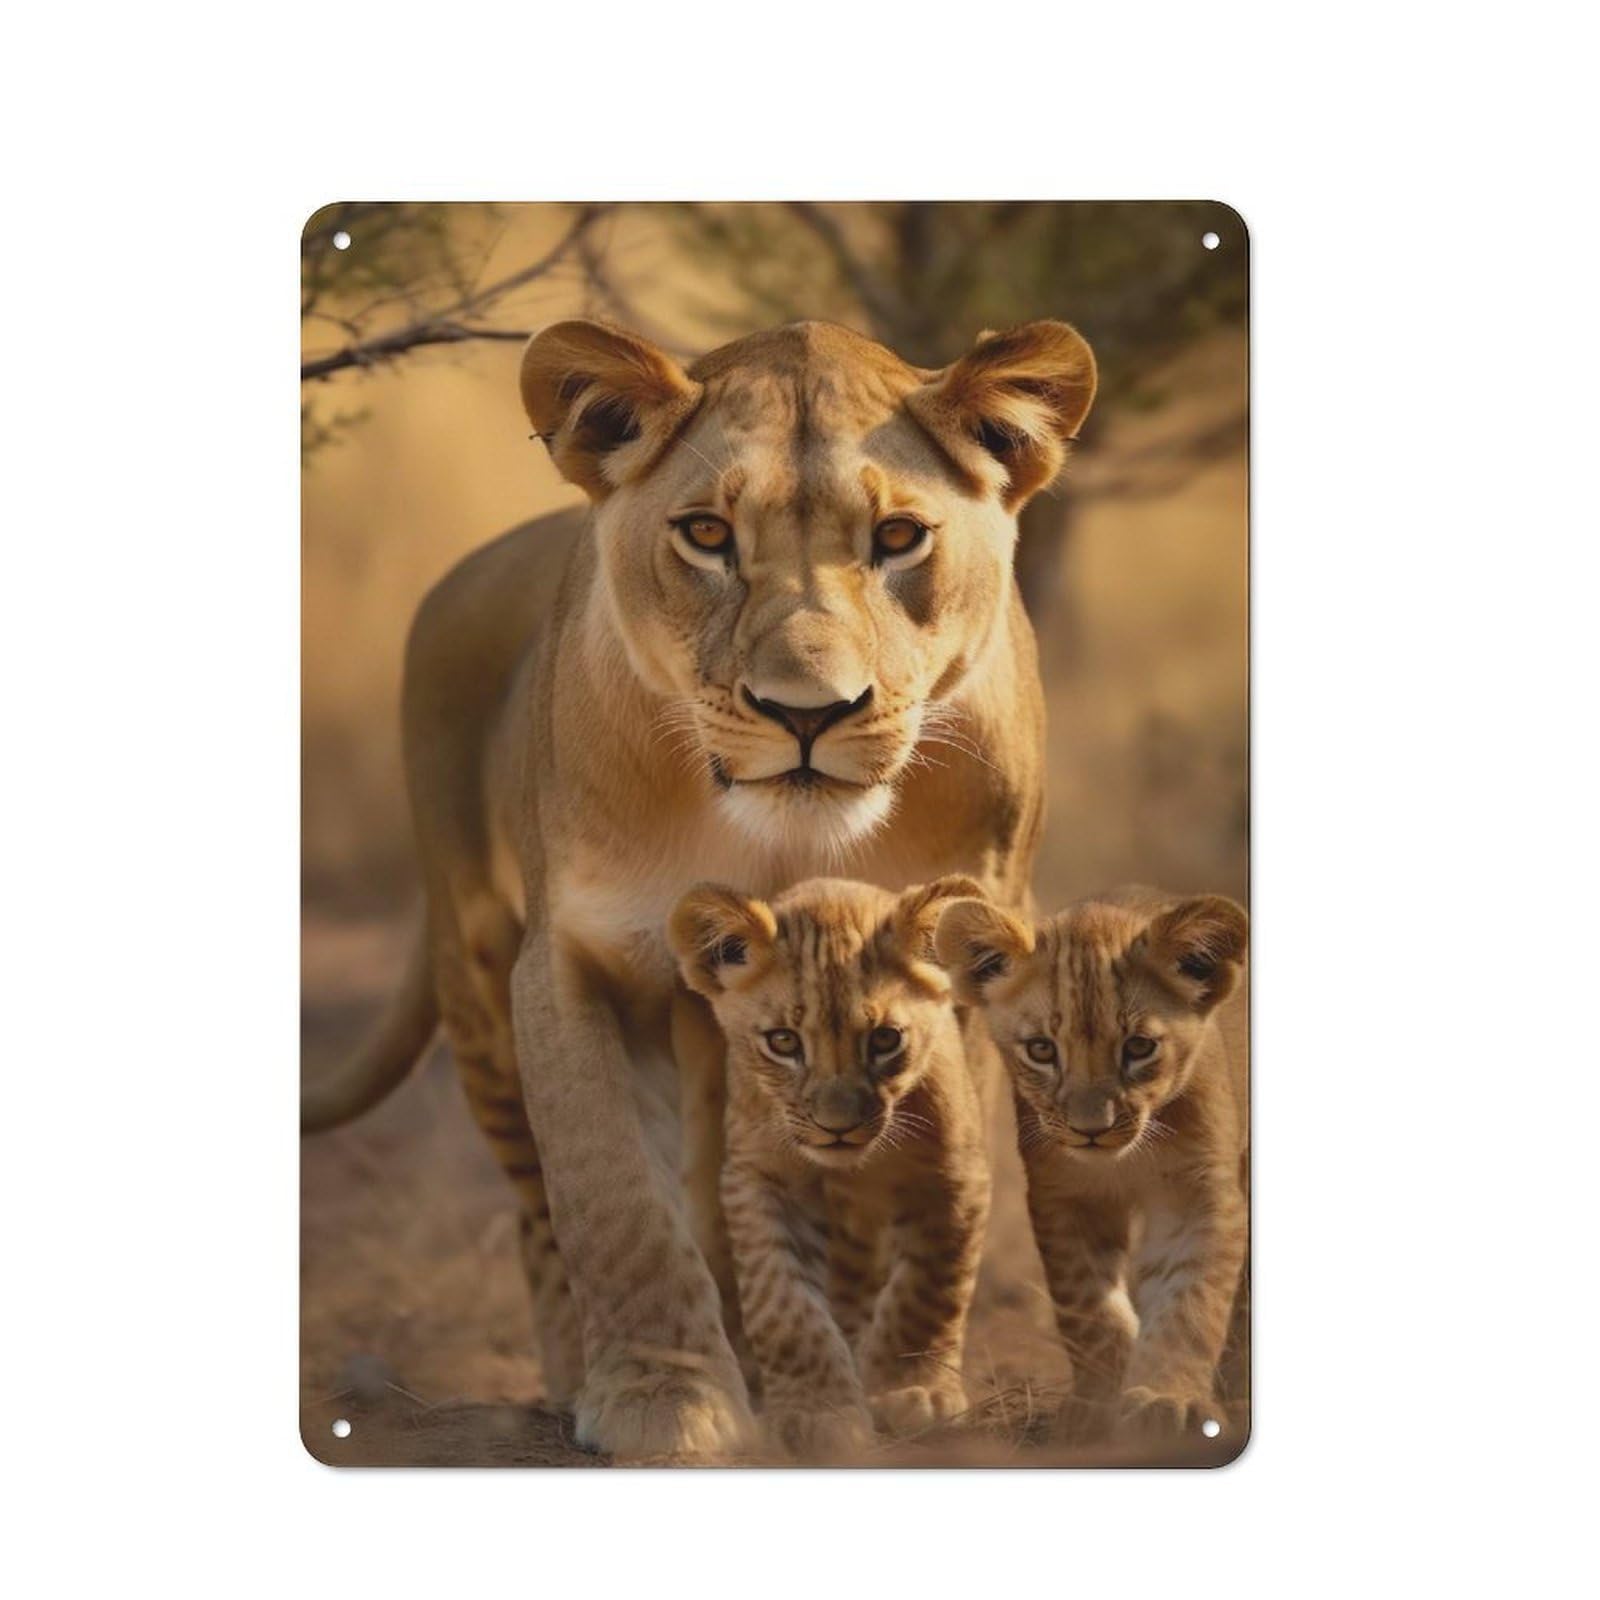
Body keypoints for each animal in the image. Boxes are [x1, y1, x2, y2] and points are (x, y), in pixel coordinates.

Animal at [301, 315, 1096, 1460]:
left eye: (899, 538)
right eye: (707, 534)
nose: (807, 711)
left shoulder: (966, 954)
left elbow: (945, 1184)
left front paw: (896, 1379)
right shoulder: (577, 959)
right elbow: (616, 1198)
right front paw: (665, 1399)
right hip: (479, 979)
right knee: (538, 1208)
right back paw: (578, 1376)